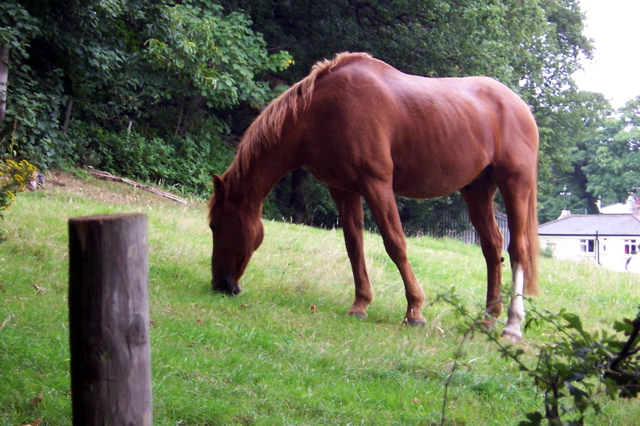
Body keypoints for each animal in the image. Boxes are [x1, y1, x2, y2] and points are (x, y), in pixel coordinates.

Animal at [208, 52, 539, 342]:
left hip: (515, 183)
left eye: (215, 225)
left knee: (517, 250)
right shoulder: (343, 189)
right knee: (492, 248)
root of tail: (520, 106)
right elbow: (354, 245)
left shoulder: (376, 184)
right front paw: (360, 305)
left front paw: (414, 311)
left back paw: (512, 326)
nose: (221, 285)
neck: (321, 111)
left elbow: (395, 243)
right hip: (478, 189)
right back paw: (488, 318)